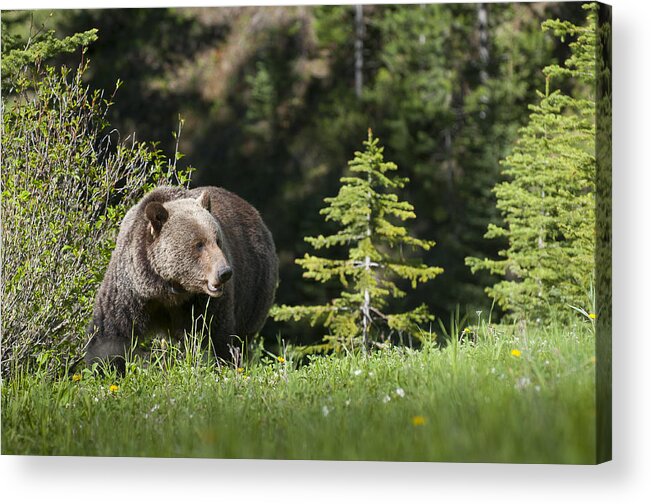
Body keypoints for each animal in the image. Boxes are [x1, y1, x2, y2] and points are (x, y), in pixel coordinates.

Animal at [84, 187, 278, 368]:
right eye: (199, 244)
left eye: (217, 240)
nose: (225, 272)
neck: (169, 288)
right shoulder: (131, 289)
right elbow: (110, 332)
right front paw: (104, 366)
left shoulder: (204, 302)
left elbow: (215, 334)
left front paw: (221, 361)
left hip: (255, 288)